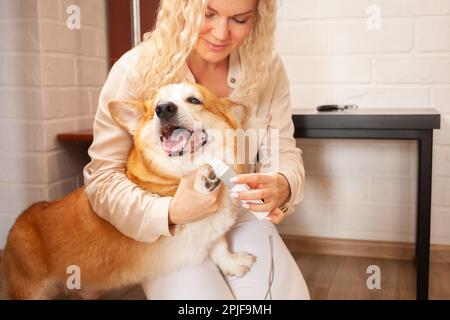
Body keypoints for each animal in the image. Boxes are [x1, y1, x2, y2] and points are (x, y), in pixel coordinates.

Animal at [1, 82, 256, 300]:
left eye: (194, 100)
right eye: (156, 106)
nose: (163, 109)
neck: (176, 173)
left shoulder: (210, 229)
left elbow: (218, 243)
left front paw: (232, 262)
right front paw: (204, 178)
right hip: (32, 289)